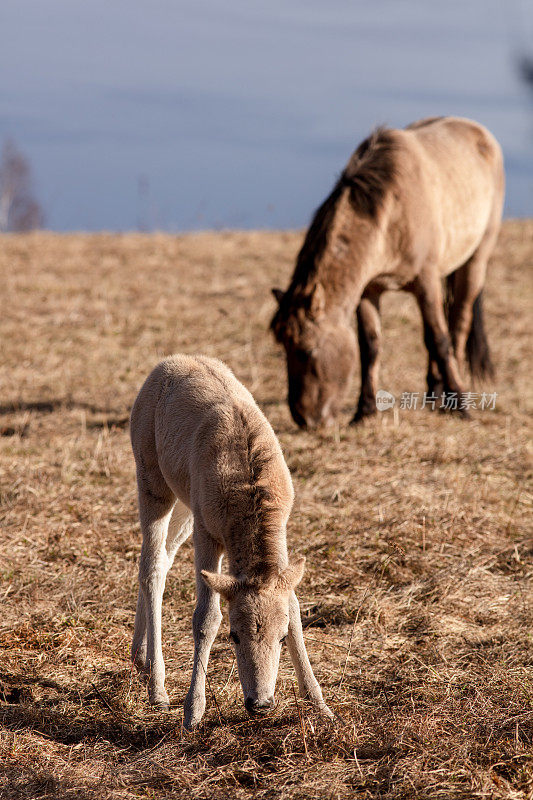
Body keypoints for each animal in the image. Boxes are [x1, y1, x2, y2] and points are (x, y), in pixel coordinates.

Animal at [129, 354, 330, 728]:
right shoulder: (207, 533)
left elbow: (295, 608)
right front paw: (192, 712)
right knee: (151, 564)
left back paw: (141, 658)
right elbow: (206, 617)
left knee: (164, 557)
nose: (260, 702)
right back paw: (157, 688)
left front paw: (321, 706)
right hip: (150, 479)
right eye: (234, 636)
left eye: (281, 637)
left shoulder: (281, 534)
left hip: (186, 503)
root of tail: (168, 362)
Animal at [270, 115, 502, 428]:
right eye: (283, 348)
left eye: (307, 352)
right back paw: (434, 394)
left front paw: (462, 406)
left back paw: (449, 397)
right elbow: (370, 345)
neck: (392, 212)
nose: (303, 418)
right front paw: (364, 411)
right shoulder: (369, 290)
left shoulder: (426, 282)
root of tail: (479, 131)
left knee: (458, 324)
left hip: (476, 261)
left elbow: (439, 340)